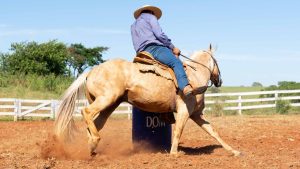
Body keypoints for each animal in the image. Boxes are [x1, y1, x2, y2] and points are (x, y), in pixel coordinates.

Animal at [54, 45, 241, 156]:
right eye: (217, 62)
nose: (220, 80)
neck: (194, 77)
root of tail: (91, 71)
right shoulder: (184, 111)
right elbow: (178, 131)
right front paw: (174, 153)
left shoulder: (196, 114)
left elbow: (213, 131)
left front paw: (234, 151)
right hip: (106, 99)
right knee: (86, 112)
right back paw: (94, 141)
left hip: (109, 106)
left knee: (94, 124)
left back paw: (92, 148)